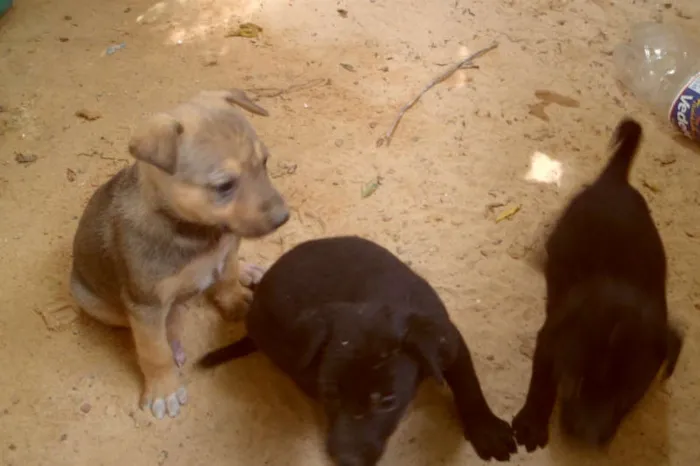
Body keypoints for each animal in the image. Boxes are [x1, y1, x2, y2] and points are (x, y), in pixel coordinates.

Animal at [71, 89, 290, 420]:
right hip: (93, 301)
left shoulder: (228, 250)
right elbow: (153, 350)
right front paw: (164, 388)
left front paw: (236, 297)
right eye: (224, 185)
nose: (283, 218)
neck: (196, 232)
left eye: (264, 162)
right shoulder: (145, 303)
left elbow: (227, 278)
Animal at [197, 237, 516, 466]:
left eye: (388, 402)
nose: (347, 461)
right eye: (331, 394)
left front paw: (486, 430)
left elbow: (468, 383)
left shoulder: (449, 341)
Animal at [512, 118, 680, 450]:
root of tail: (615, 180)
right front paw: (531, 423)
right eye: (576, 382)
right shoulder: (550, 338)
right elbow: (542, 381)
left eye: (628, 396)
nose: (587, 440)